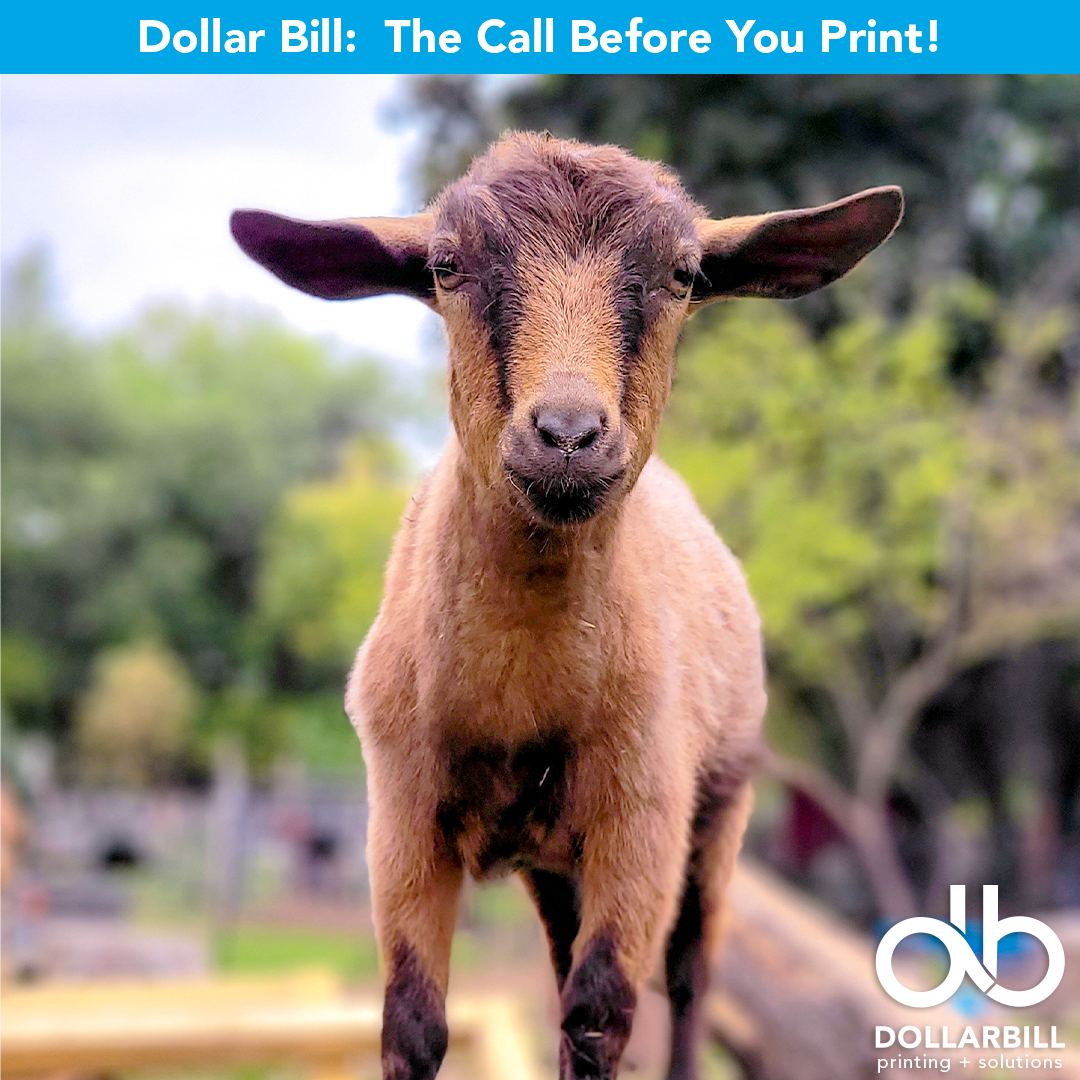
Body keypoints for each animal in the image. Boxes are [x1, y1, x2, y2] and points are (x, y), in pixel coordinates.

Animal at [231, 132, 902, 1080]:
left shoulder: (643, 818)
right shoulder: (400, 822)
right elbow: (412, 1025)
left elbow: (600, 1017)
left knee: (691, 982)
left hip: (720, 812)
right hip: (552, 864)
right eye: (445, 265)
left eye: (684, 274)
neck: (518, 694)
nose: (569, 437)